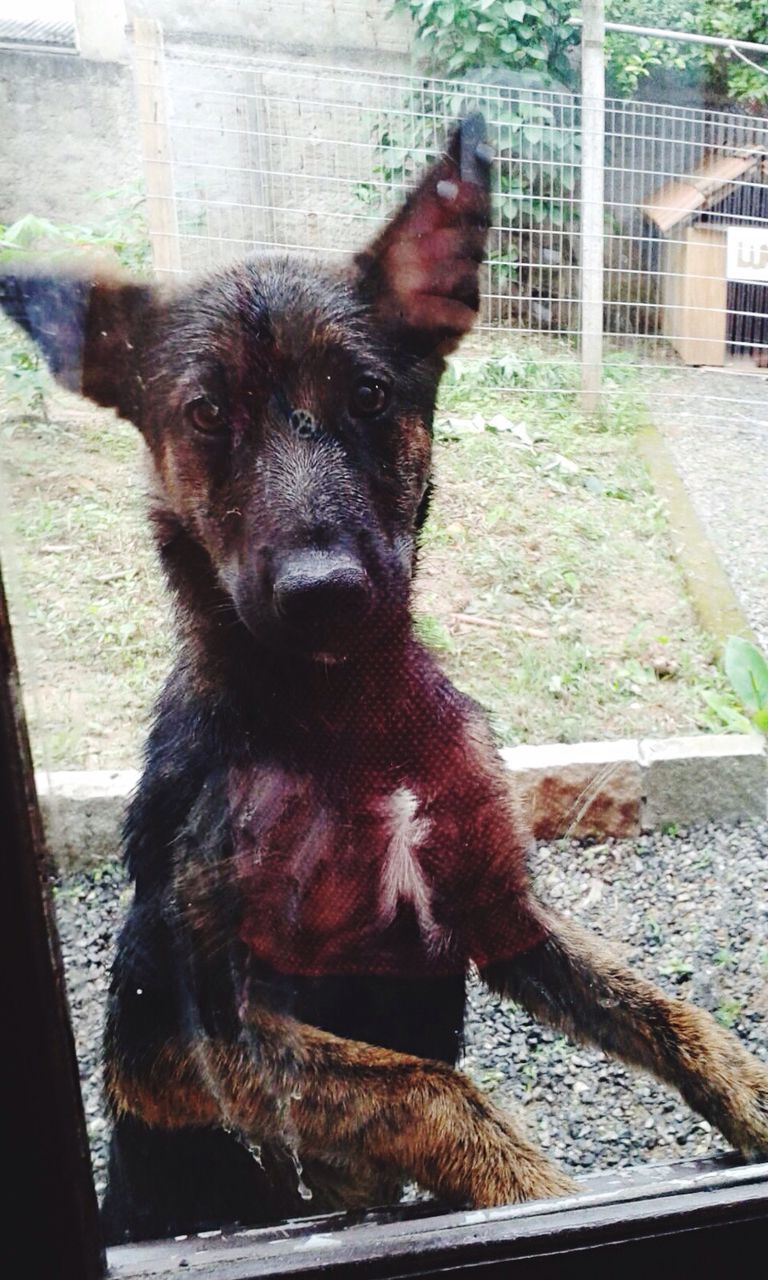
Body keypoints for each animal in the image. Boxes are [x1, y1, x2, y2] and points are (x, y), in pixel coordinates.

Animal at [1, 117, 768, 1239]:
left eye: (367, 394)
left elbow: (664, 1007)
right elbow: (424, 1088)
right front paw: (535, 1192)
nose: (325, 593)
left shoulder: (497, 912)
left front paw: (754, 1098)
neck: (349, 716)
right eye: (206, 411)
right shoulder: (180, 1040)